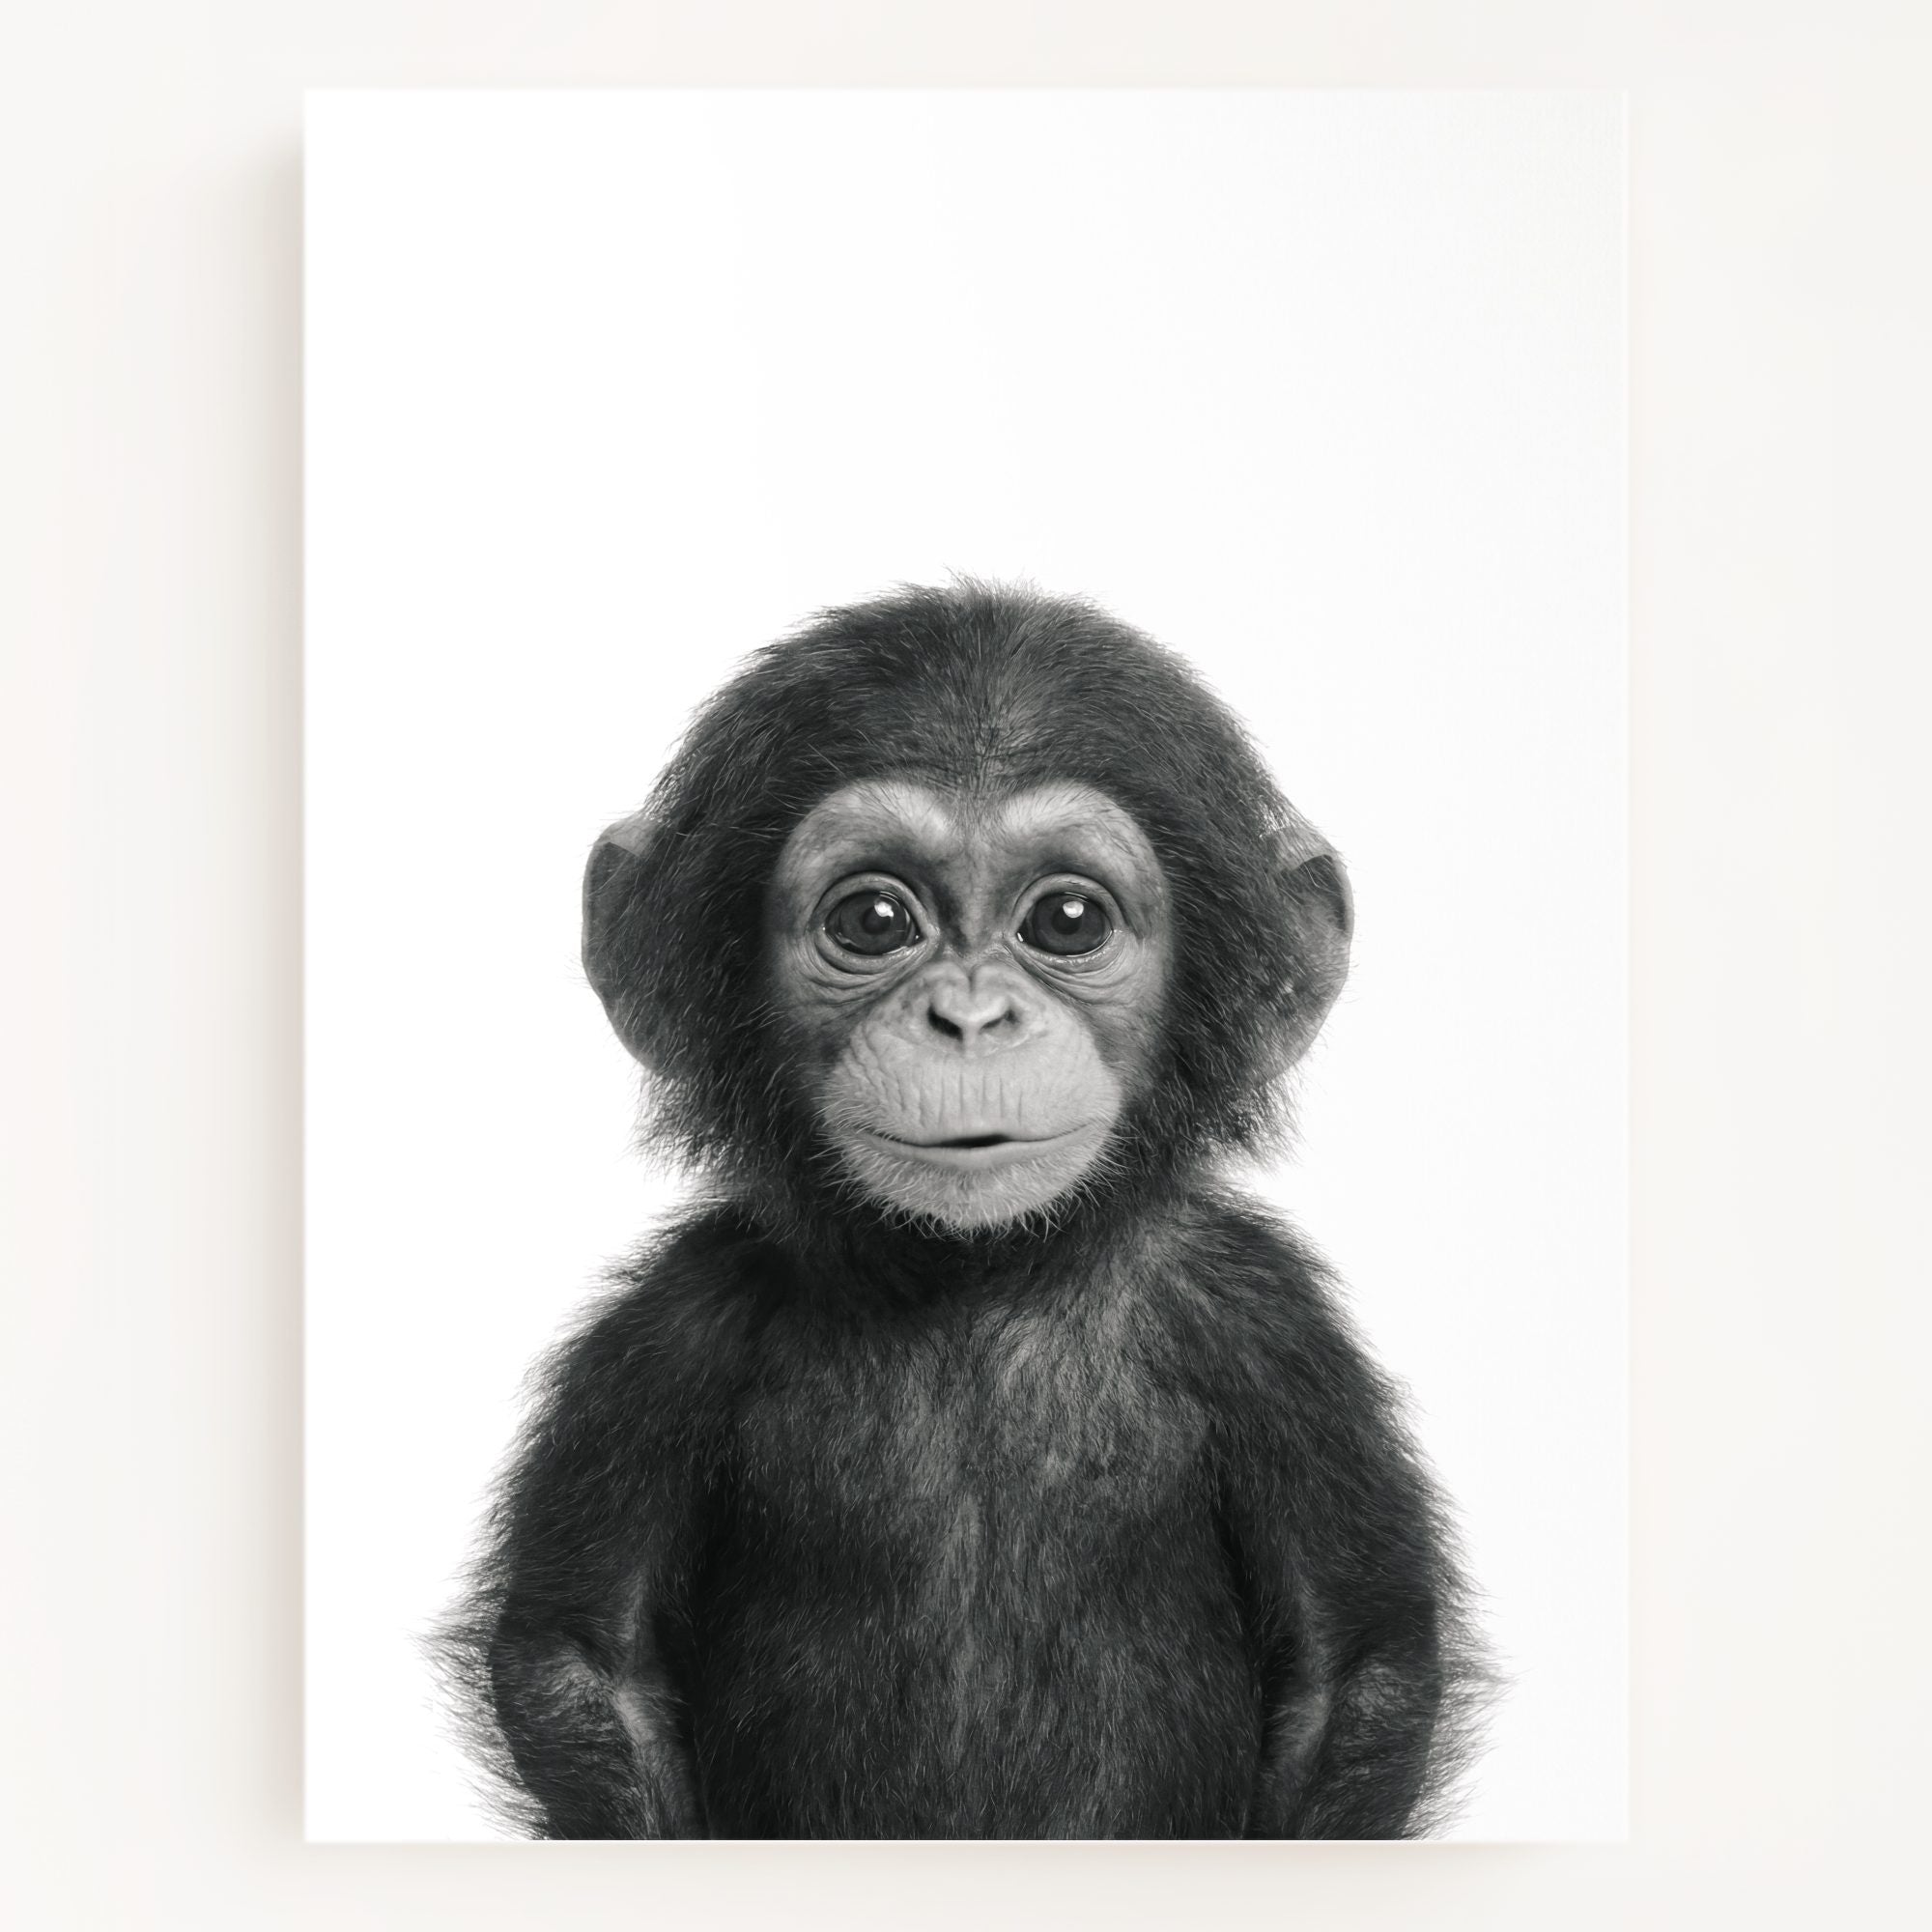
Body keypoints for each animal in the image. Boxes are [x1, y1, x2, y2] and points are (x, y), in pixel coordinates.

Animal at [438, 581, 1488, 1839]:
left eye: (1068, 919)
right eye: (874, 920)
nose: (971, 1017)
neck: (974, 1273)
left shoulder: (1267, 1326)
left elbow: (1353, 1668)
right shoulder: (671, 1329)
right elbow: (585, 1662)